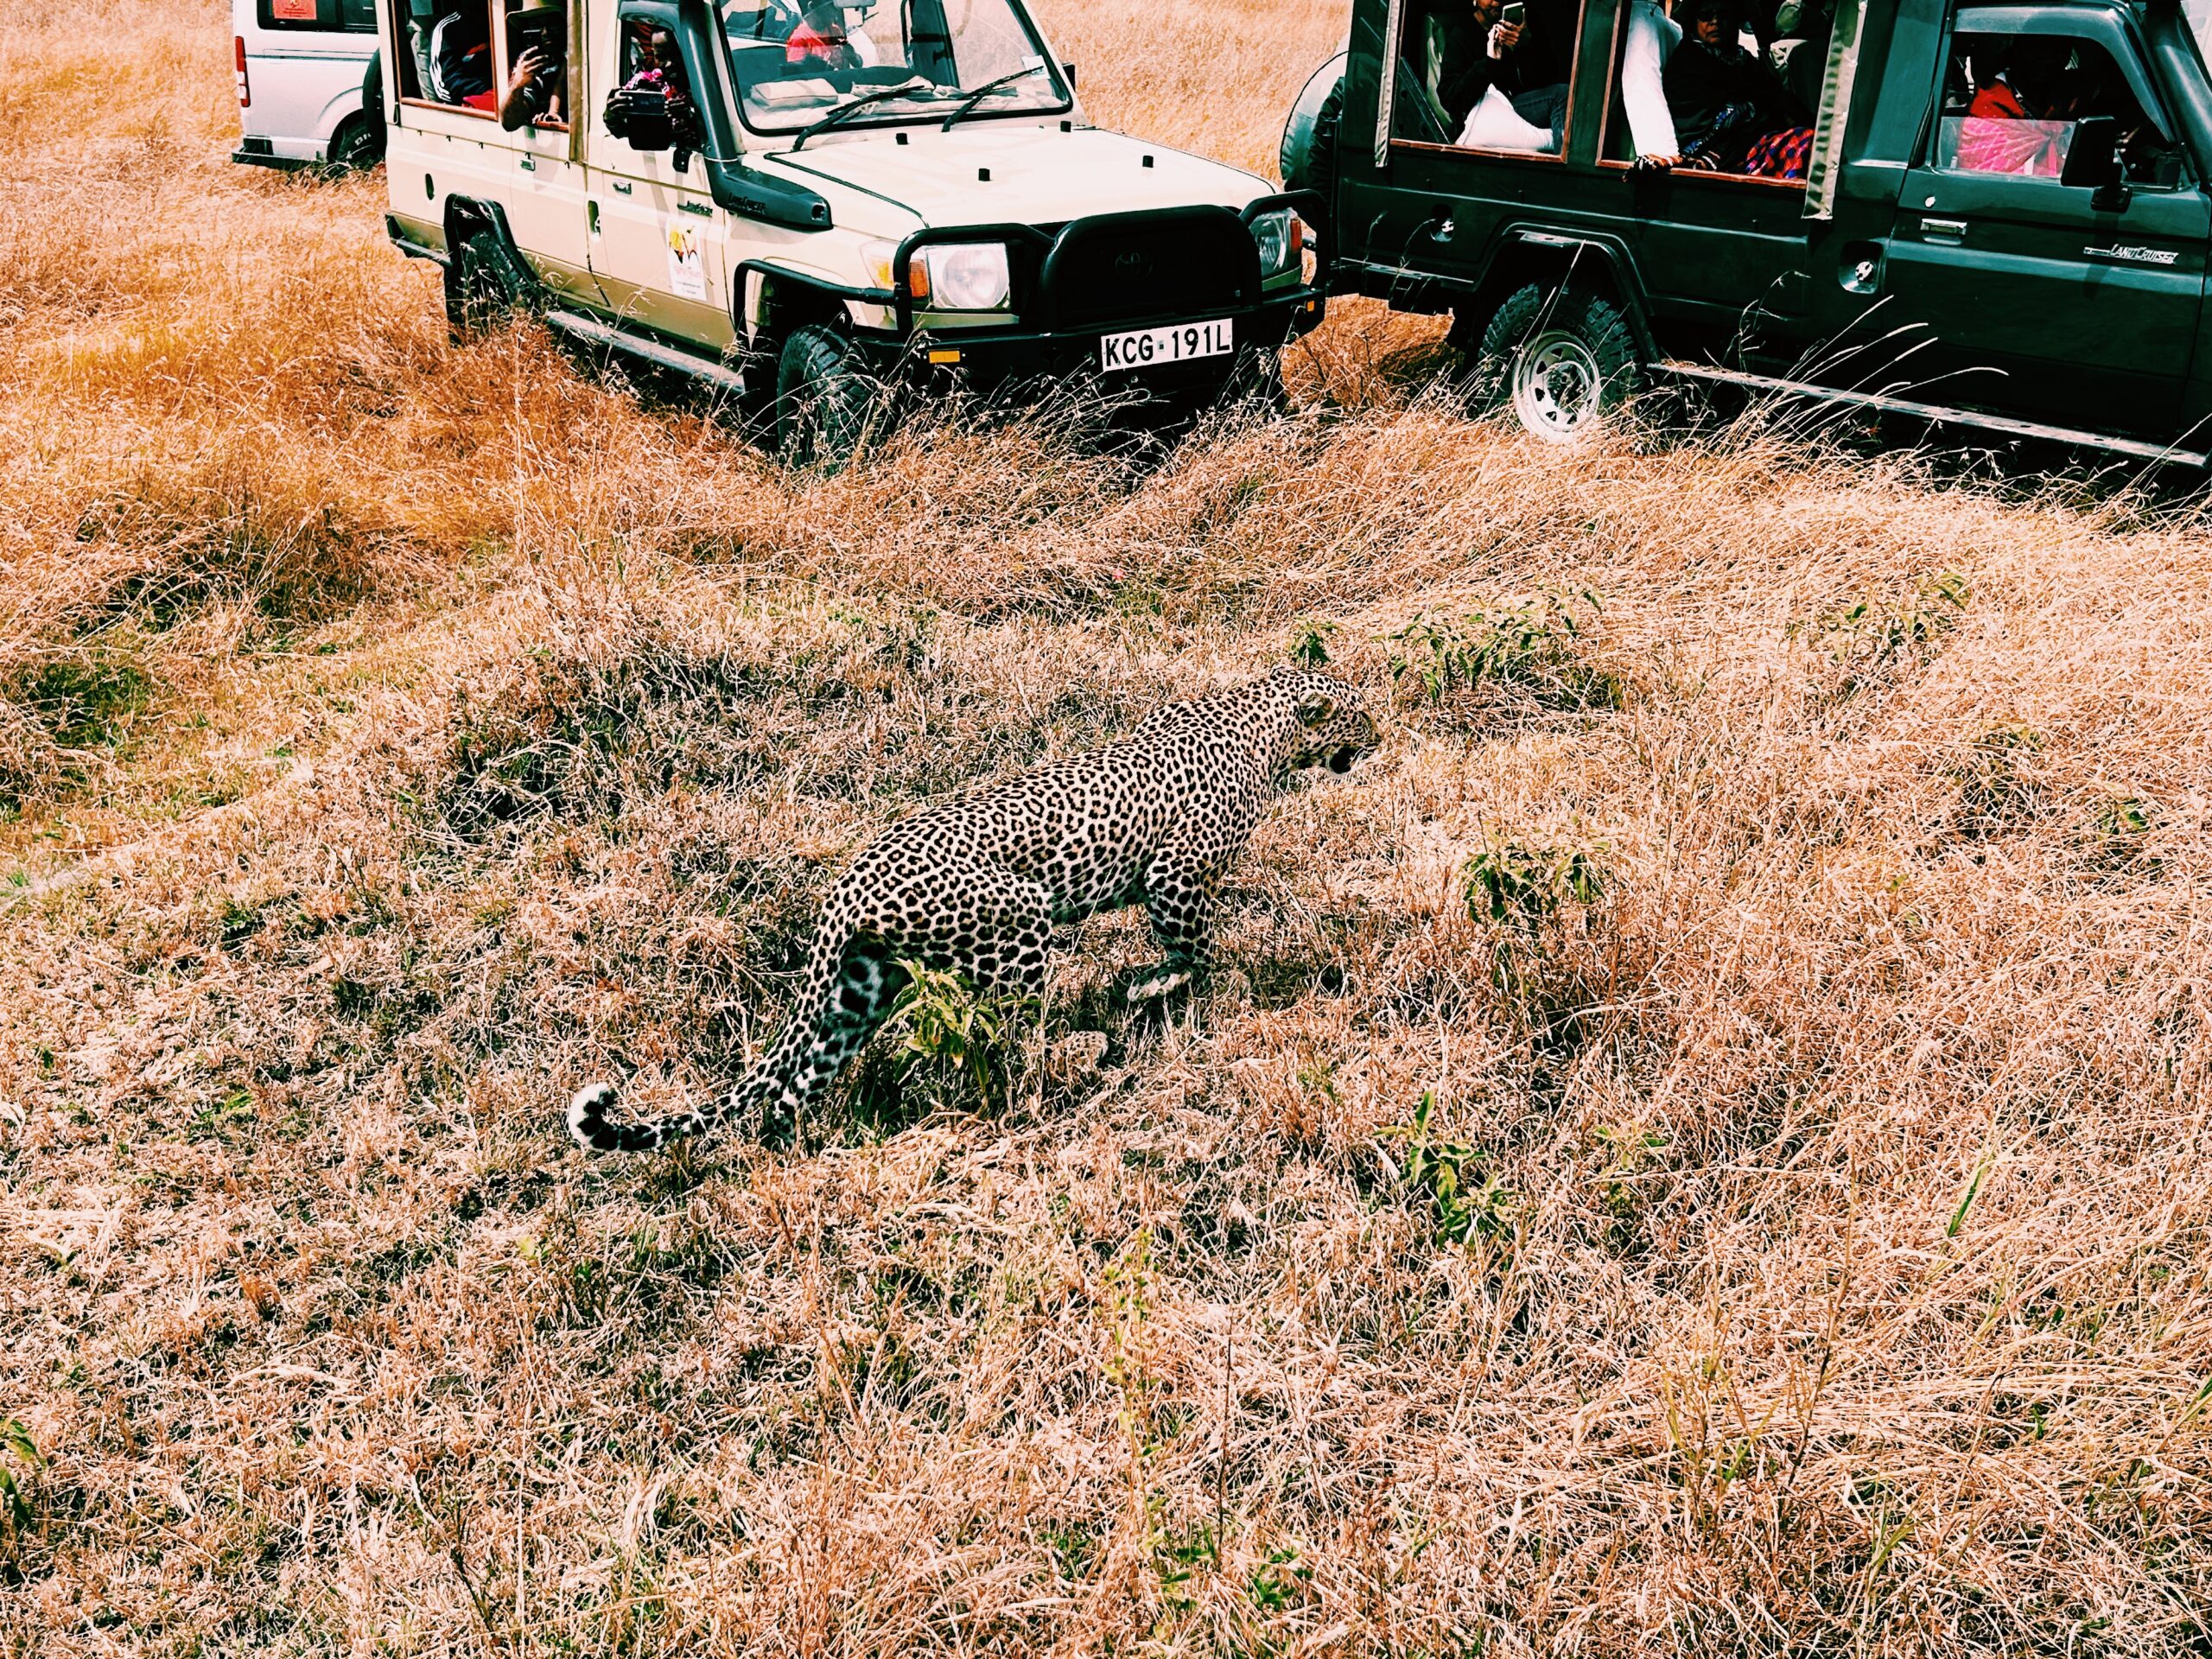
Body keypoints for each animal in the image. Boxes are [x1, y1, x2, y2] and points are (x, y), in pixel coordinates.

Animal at [562, 668, 1371, 1159]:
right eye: (1358, 713)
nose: (1381, 733)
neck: (1262, 720)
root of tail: (847, 886)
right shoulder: (1175, 876)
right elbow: (1196, 948)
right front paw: (1161, 985)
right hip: (1019, 926)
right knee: (1014, 1040)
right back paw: (1080, 1057)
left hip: (860, 993)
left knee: (793, 1089)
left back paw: (792, 1150)